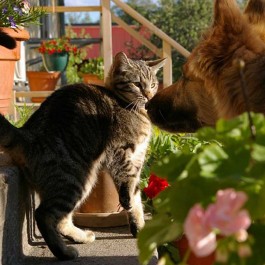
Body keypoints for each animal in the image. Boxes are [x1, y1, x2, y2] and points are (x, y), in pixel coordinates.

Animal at [0, 52, 164, 260]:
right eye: (137, 83)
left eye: (153, 84)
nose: (149, 95)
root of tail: (26, 133)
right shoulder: (121, 152)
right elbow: (130, 191)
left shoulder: (138, 158)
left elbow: (135, 197)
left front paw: (139, 227)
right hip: (73, 179)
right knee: (43, 214)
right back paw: (63, 252)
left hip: (84, 181)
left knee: (61, 220)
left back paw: (80, 237)